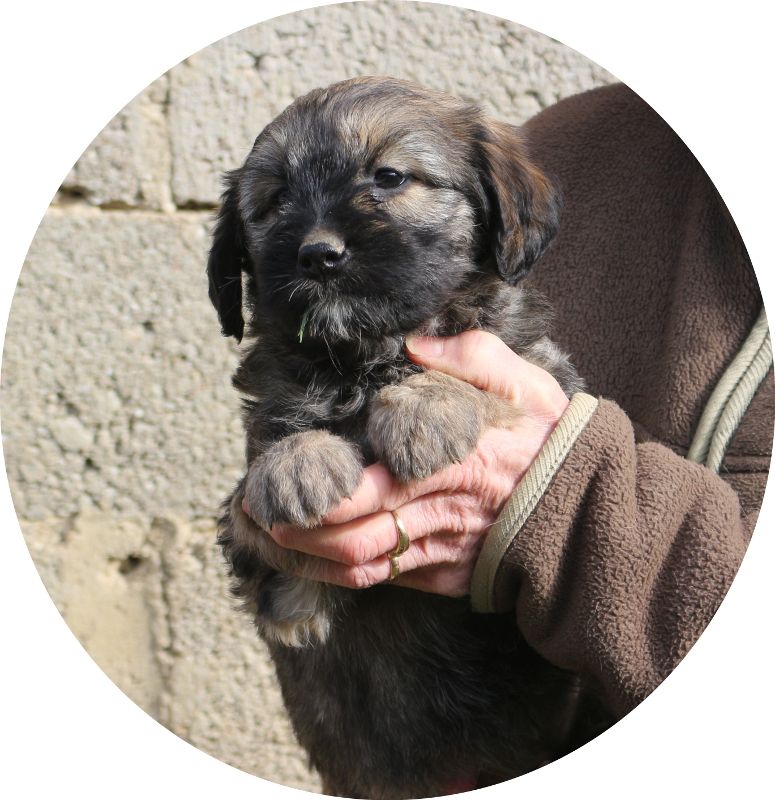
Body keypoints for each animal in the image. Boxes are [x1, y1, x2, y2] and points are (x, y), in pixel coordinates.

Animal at [207, 77, 610, 798]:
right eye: (274, 201)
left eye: (389, 177)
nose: (319, 253)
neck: (364, 359)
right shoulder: (246, 537)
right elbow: (273, 441)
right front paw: (296, 464)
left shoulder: (545, 378)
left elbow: (485, 385)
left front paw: (425, 408)